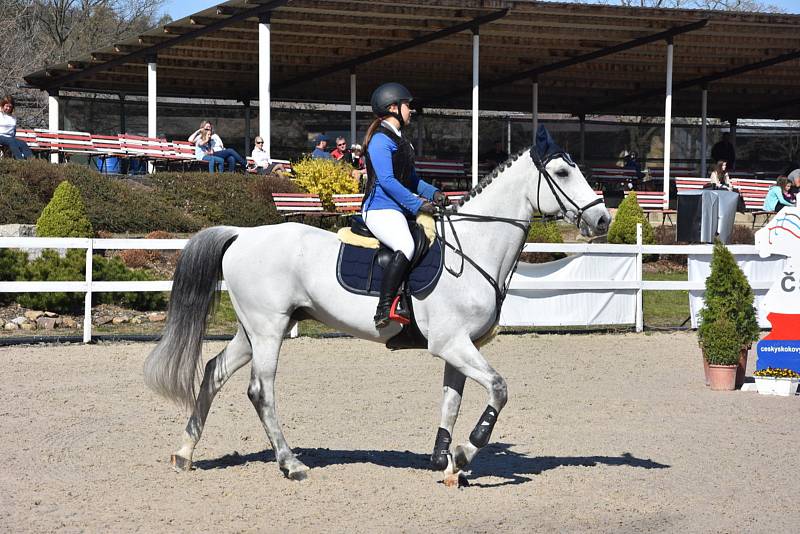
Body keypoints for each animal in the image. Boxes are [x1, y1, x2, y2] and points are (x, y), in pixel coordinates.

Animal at [144, 137, 608, 486]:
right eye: (563, 173)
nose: (603, 219)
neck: (475, 246)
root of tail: (242, 234)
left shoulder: (458, 347)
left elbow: (451, 402)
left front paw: (446, 464)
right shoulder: (451, 344)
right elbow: (499, 389)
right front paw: (464, 451)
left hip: (254, 330)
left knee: (214, 372)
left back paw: (185, 453)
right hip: (268, 330)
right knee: (261, 391)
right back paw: (291, 464)